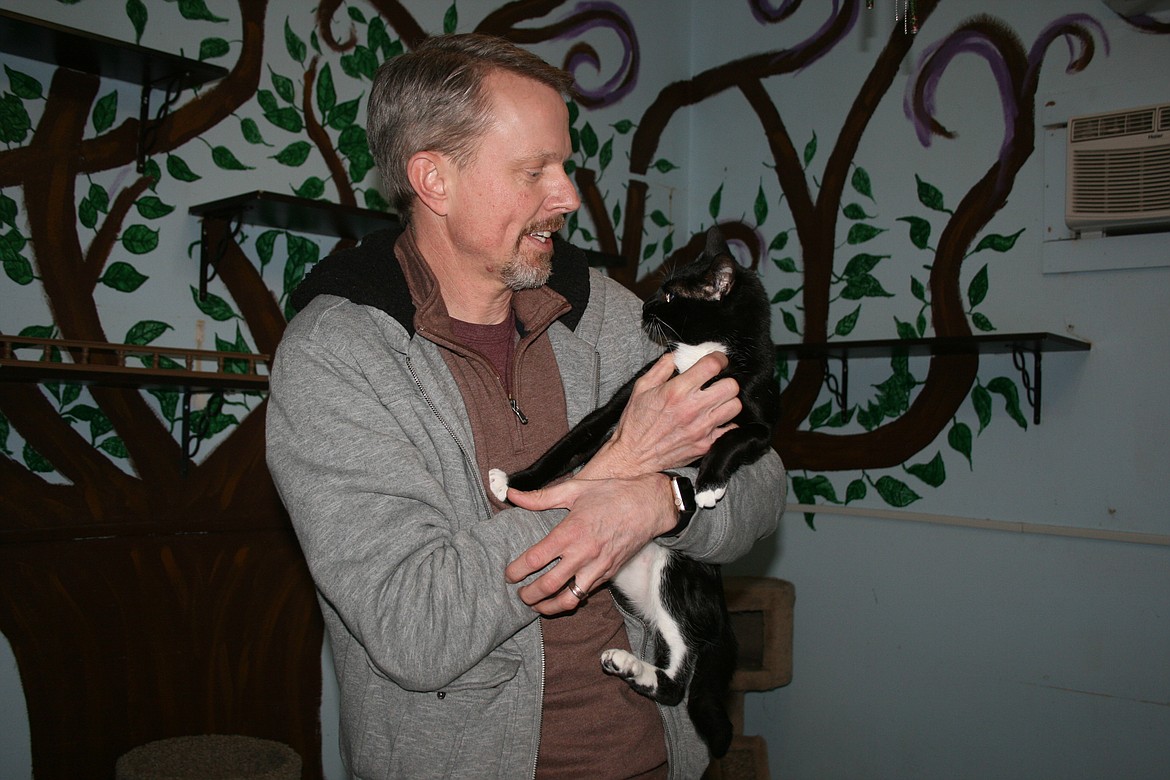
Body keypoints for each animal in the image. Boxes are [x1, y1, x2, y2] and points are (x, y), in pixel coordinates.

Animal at [491, 224, 776, 757]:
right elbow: (575, 439)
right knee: (672, 671)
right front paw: (517, 480)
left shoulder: (756, 415)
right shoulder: (629, 397)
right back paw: (630, 665)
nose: (645, 305)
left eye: (672, 295)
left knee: (681, 677)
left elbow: (731, 439)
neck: (702, 353)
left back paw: (633, 667)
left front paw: (708, 485)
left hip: (677, 573)